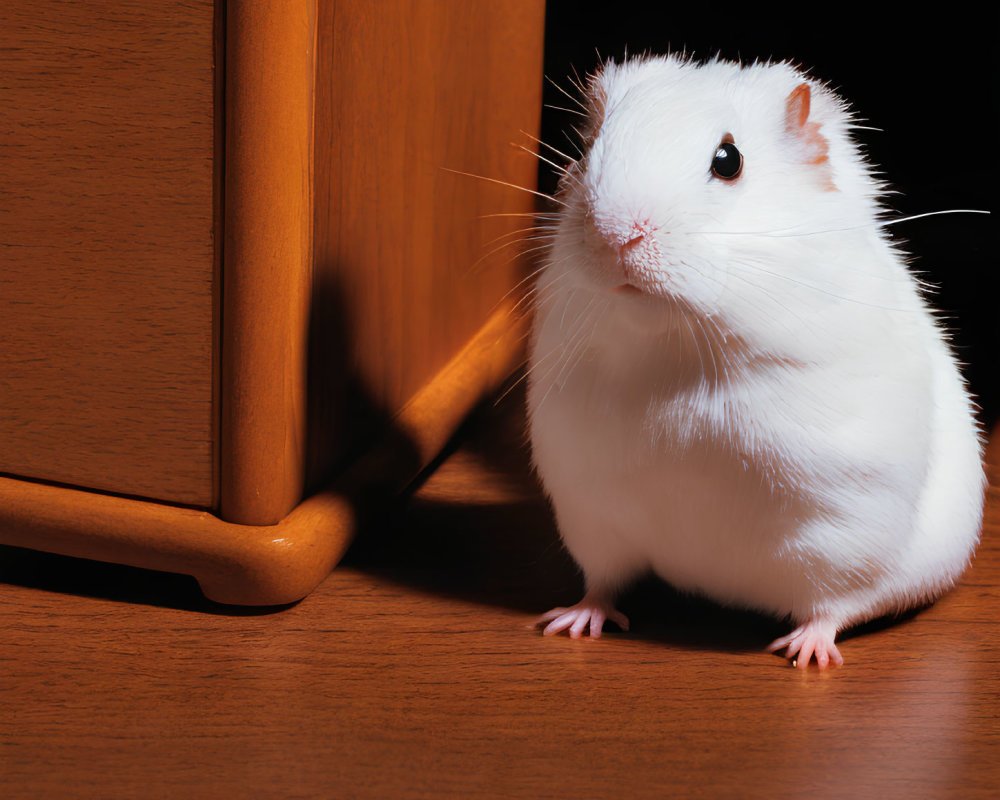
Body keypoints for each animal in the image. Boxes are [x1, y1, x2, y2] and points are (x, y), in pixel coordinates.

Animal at [528, 54, 988, 668]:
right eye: (587, 148)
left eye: (729, 161)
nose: (615, 237)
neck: (676, 343)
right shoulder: (589, 506)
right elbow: (601, 581)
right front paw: (565, 625)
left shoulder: (846, 519)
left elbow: (836, 602)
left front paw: (801, 658)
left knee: (837, 605)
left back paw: (804, 652)